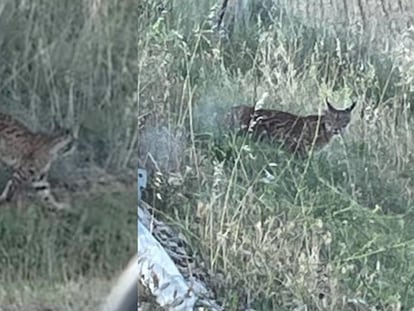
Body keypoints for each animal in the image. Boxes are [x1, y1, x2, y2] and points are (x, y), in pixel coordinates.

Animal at [225, 100, 358, 156]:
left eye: (344, 121)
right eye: (332, 120)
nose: (336, 129)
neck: (324, 129)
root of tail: (234, 108)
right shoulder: (298, 147)